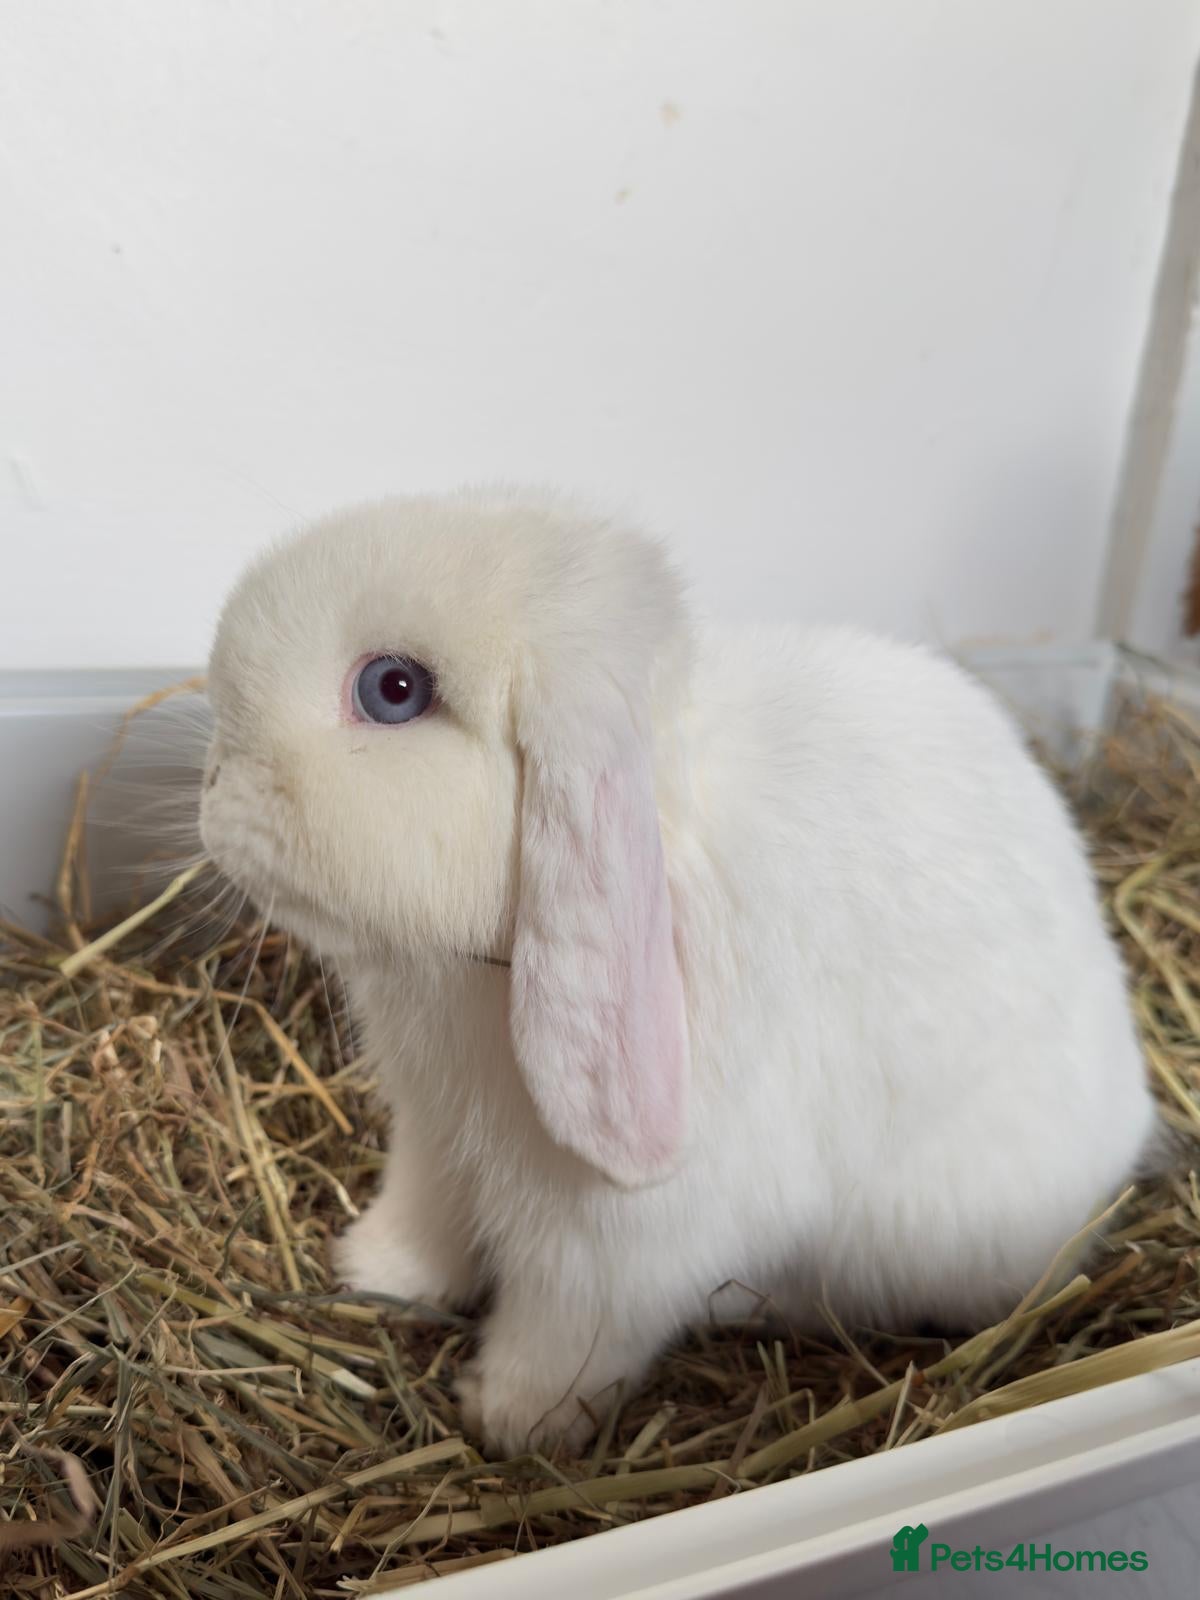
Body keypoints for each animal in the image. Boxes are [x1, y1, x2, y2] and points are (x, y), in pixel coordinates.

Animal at [199, 487, 1156, 1458]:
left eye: (393, 690)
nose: (212, 791)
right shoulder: (434, 1139)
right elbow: (427, 1218)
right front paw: (374, 1272)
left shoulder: (615, 1250)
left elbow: (568, 1338)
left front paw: (508, 1420)